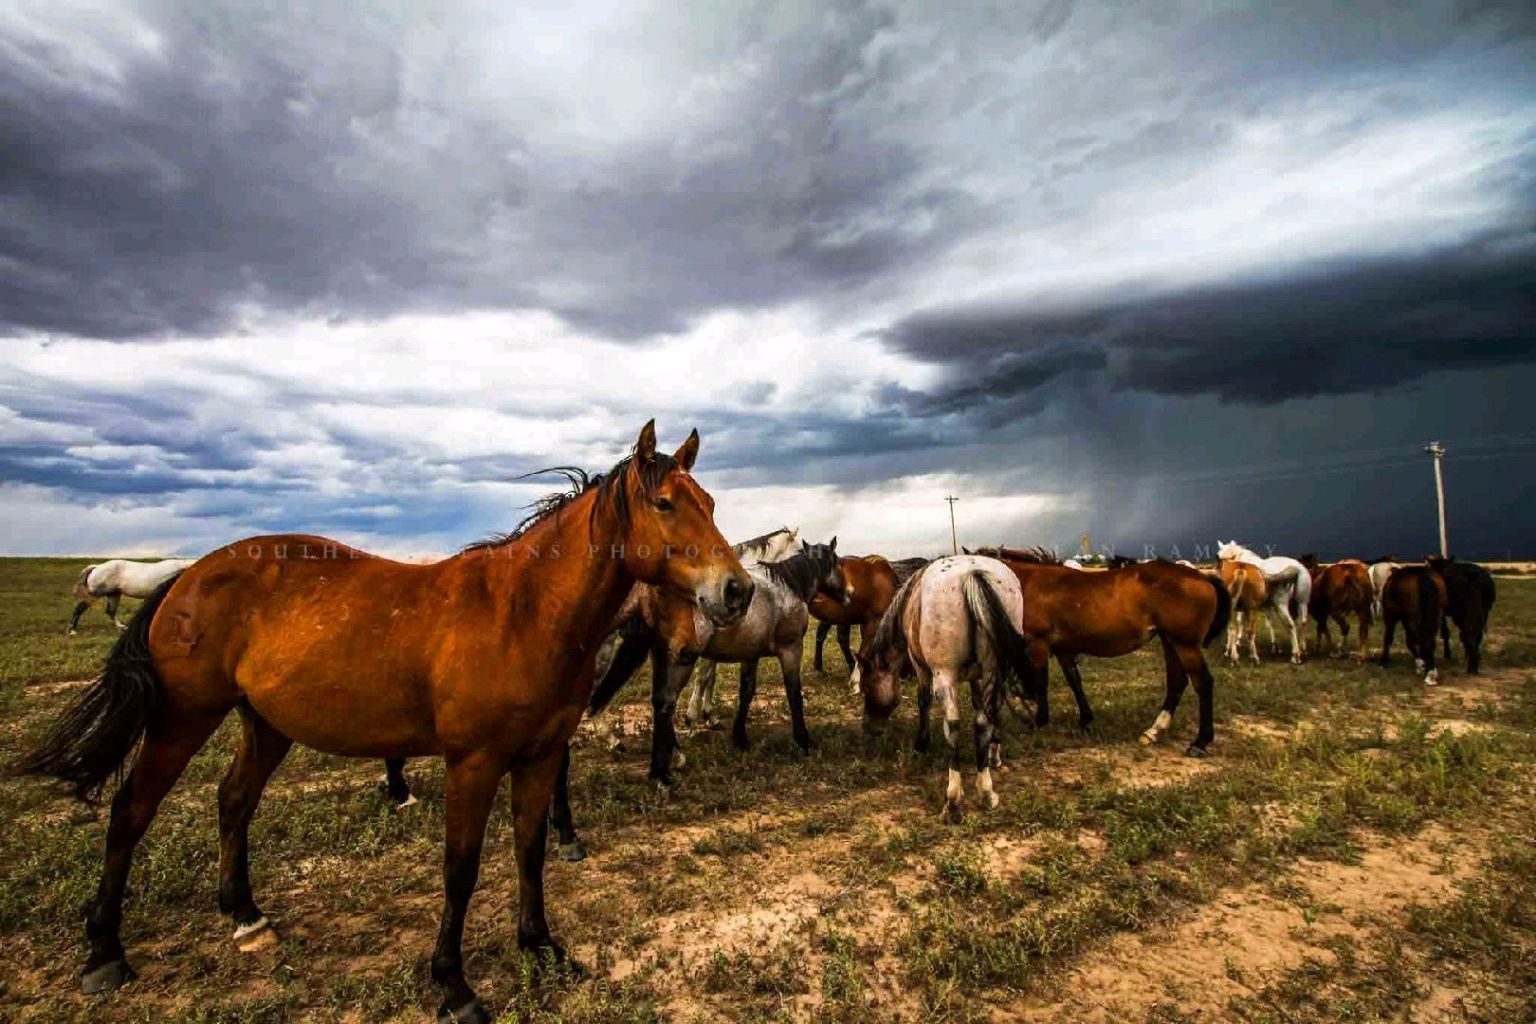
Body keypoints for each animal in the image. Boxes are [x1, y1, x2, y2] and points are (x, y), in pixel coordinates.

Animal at [68, 558, 197, 634]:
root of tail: (96, 568)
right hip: (95, 595)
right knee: (79, 609)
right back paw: (72, 630)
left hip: (114, 594)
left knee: (110, 611)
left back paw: (122, 627)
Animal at [855, 555, 1037, 821]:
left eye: (868, 688)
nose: (869, 728)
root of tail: (973, 574)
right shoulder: (979, 678)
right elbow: (984, 708)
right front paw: (992, 753)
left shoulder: (921, 668)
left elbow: (923, 701)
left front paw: (921, 746)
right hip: (993, 671)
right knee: (985, 719)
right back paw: (987, 789)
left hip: (945, 676)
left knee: (953, 725)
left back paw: (953, 799)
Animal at [970, 546, 1228, 755]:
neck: (1028, 584)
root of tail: (1202, 577)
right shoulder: (1063, 649)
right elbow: (1074, 681)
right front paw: (1086, 719)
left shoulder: (1039, 644)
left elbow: (1043, 682)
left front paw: (1041, 721)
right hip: (1170, 641)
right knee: (1177, 681)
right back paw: (1155, 730)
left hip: (1185, 644)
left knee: (1203, 683)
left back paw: (1200, 742)